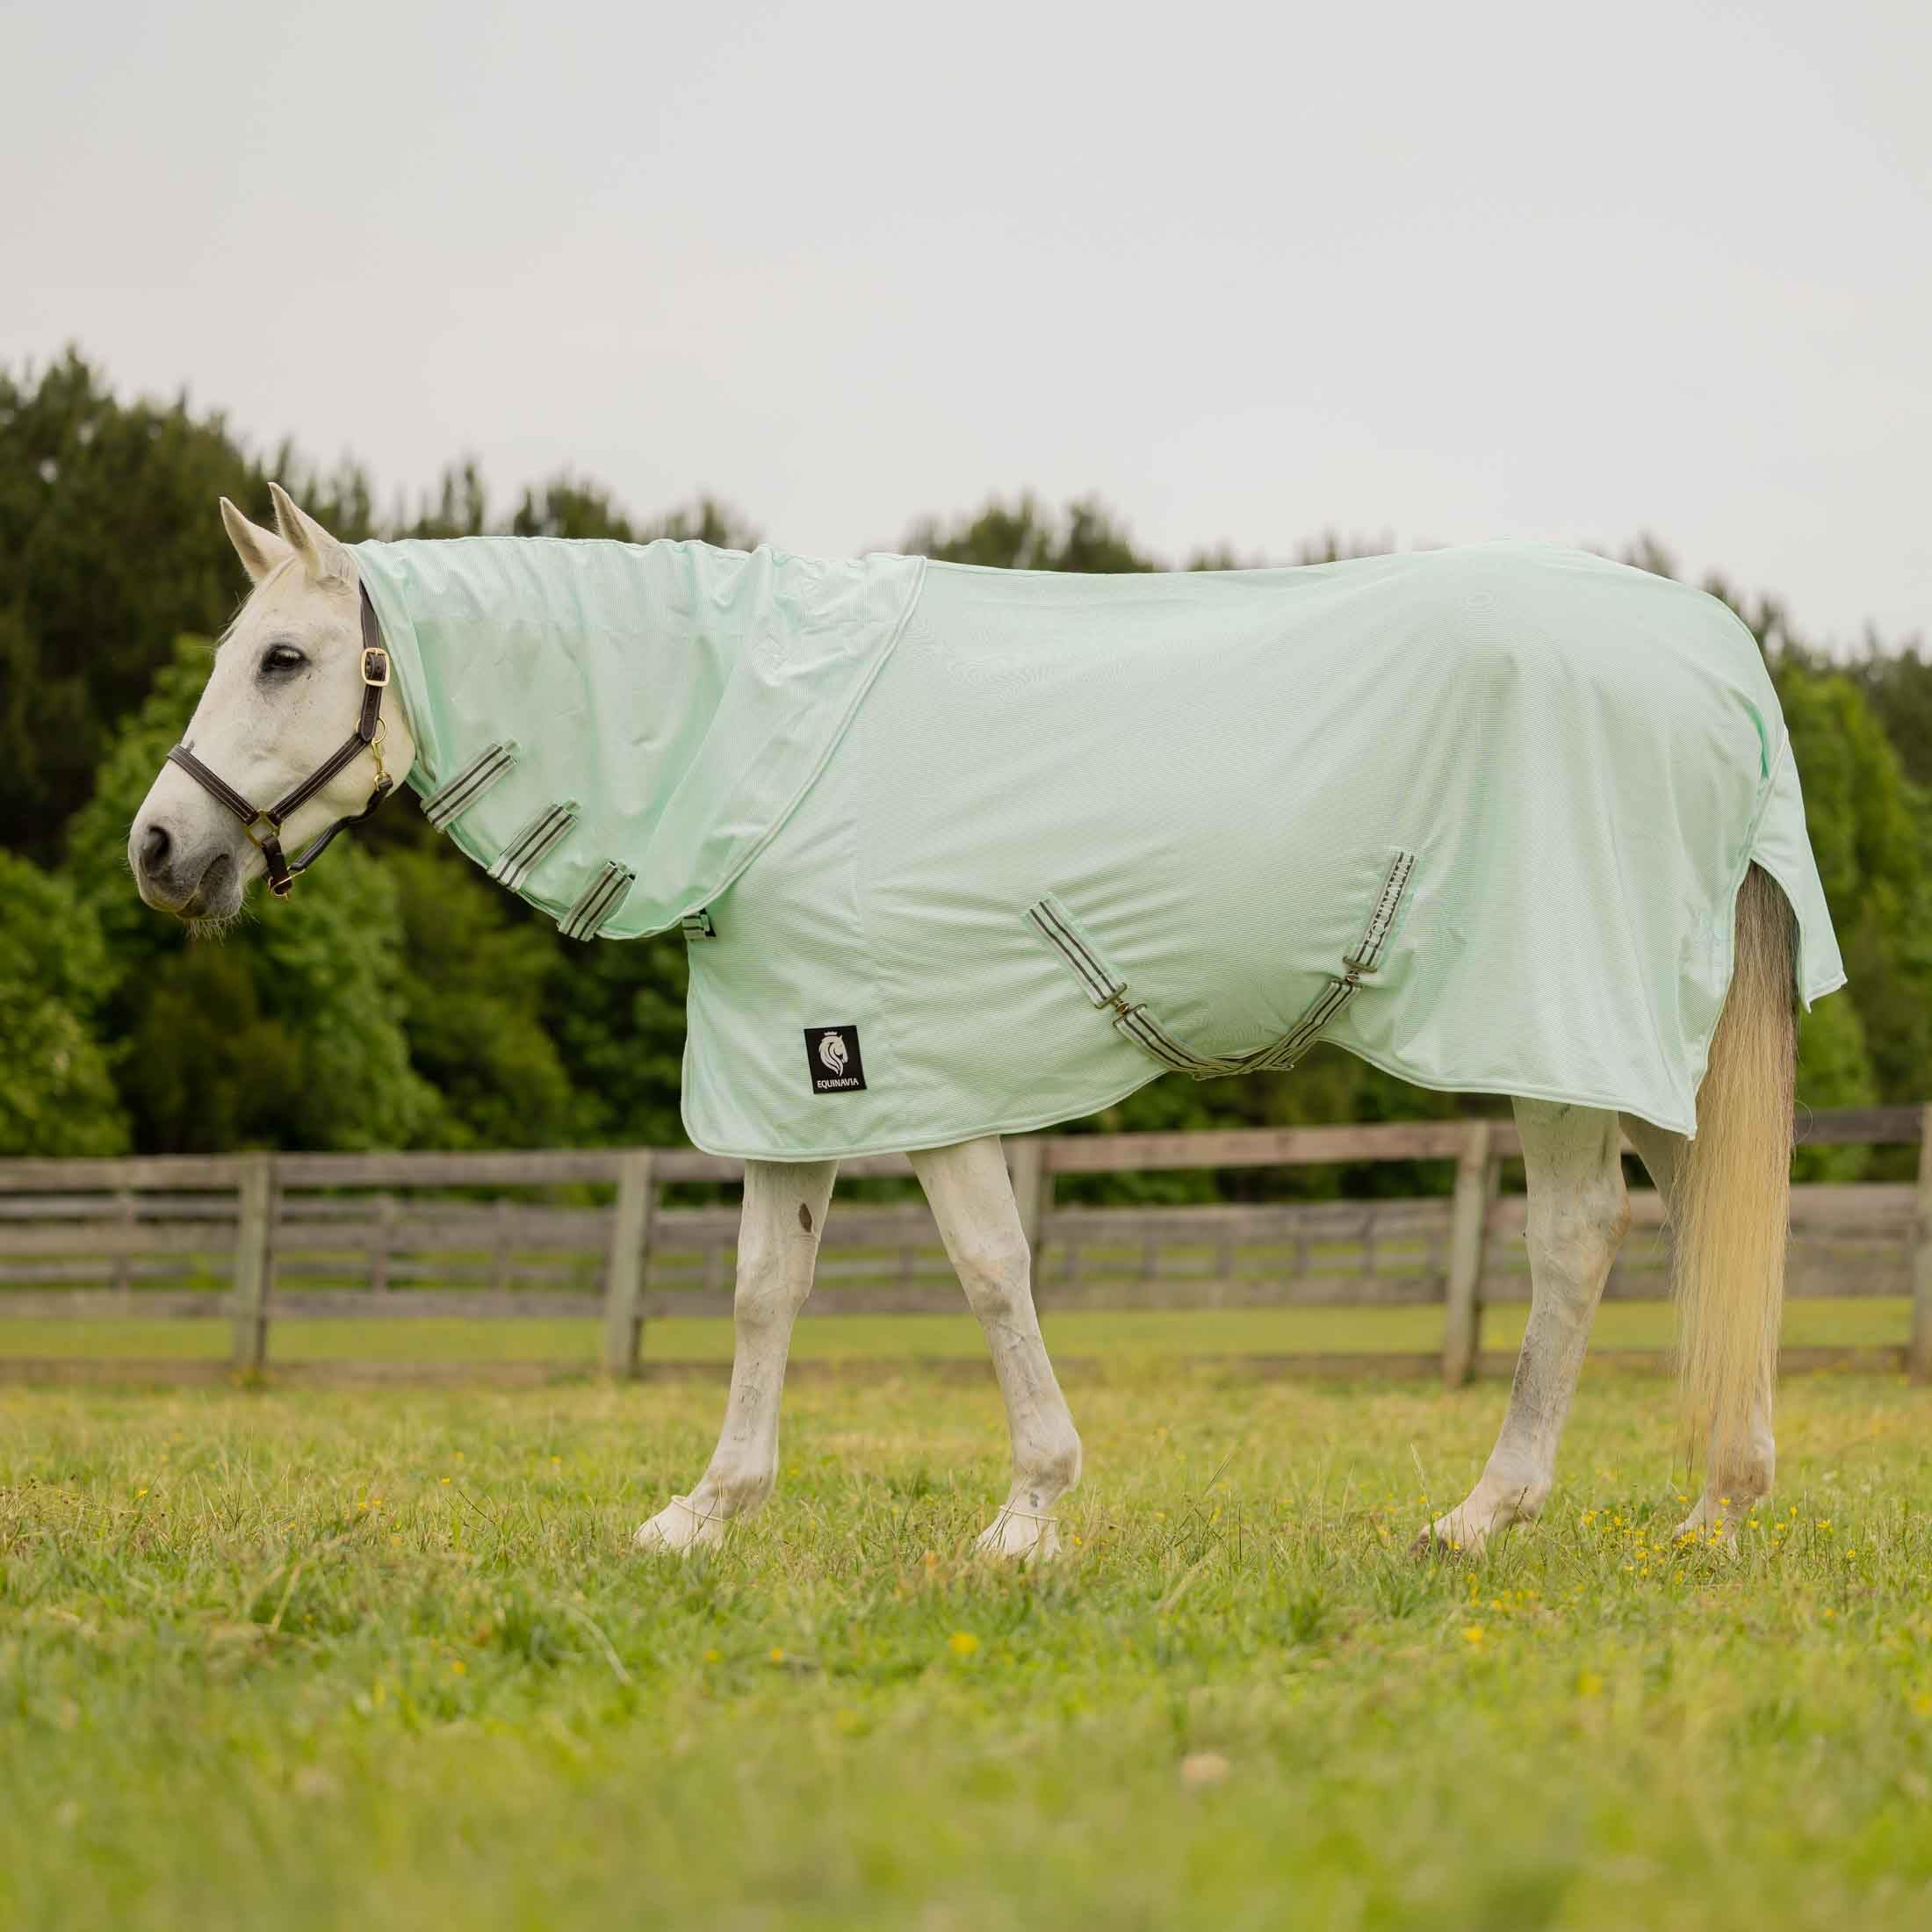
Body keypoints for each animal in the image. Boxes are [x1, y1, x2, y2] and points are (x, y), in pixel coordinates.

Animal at [129, 484, 1839, 1558]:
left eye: (283, 658)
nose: (158, 848)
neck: (754, 741)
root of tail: (1716, 654)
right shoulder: (797, 1069)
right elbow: (762, 1290)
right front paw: (707, 1512)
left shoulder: (906, 1069)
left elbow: (987, 1270)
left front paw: (1027, 1515)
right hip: (1653, 1053)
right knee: (1711, 1217)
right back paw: (1719, 1506)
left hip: (1559, 1045)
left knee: (1578, 1248)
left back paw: (1487, 1516)